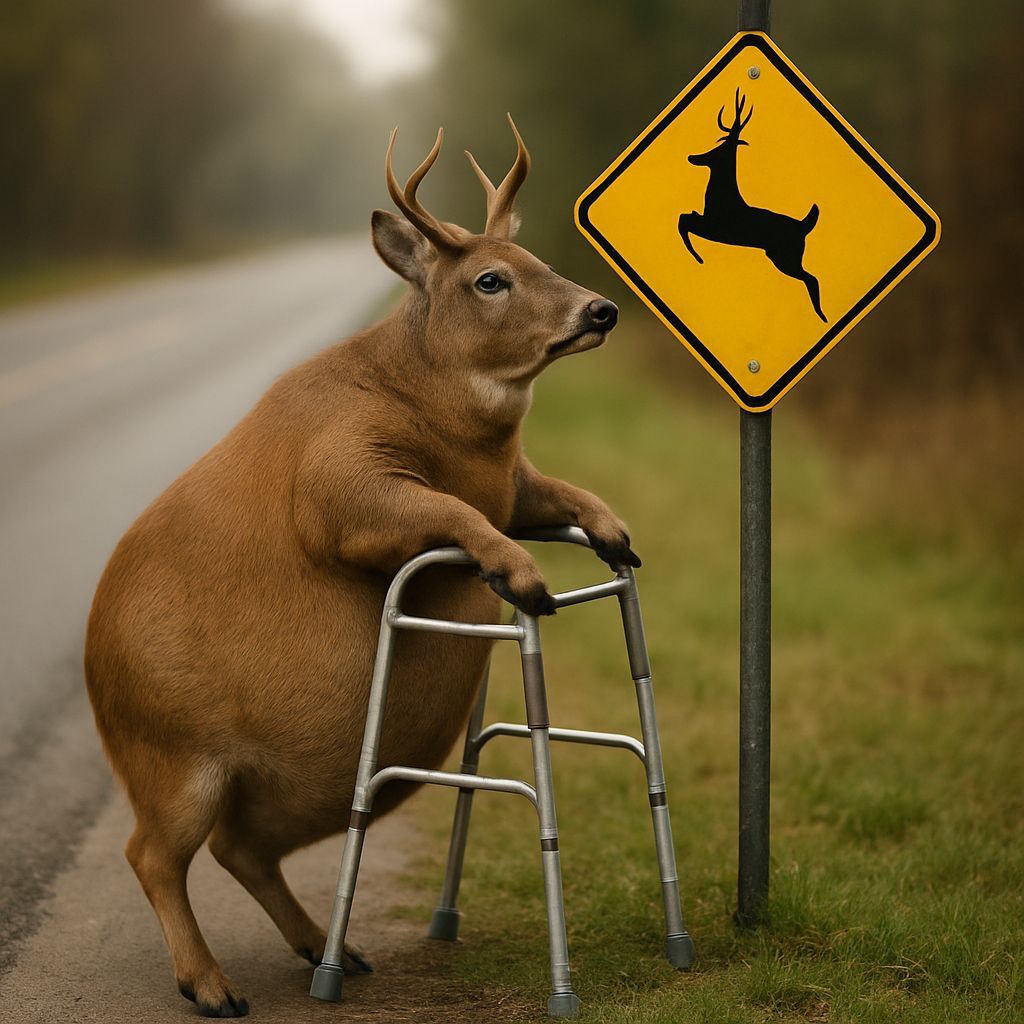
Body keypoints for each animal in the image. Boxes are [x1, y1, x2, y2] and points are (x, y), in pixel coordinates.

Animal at [84, 116, 637, 1019]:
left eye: (535, 258)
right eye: (489, 279)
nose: (601, 307)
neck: (452, 429)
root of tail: (94, 668)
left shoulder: (515, 484)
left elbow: (562, 491)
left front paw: (614, 532)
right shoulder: (338, 484)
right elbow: (456, 516)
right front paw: (521, 574)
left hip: (266, 785)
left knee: (241, 849)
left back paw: (322, 944)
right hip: (167, 753)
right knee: (153, 854)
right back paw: (211, 985)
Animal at [678, 89, 827, 323]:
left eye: (718, 149)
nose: (692, 157)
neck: (720, 197)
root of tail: (804, 225)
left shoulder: (715, 227)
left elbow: (683, 219)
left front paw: (698, 257)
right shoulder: (707, 221)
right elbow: (684, 217)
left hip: (786, 257)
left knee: (811, 278)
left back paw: (821, 315)